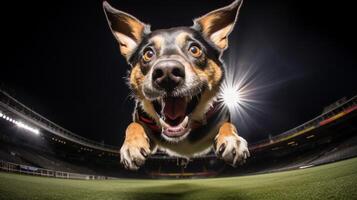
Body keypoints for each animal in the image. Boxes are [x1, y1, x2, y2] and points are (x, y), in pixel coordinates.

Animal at [101, 0, 249, 170]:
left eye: (194, 49)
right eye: (148, 53)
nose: (167, 73)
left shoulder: (221, 117)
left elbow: (228, 125)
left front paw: (232, 140)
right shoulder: (142, 122)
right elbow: (132, 125)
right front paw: (132, 145)